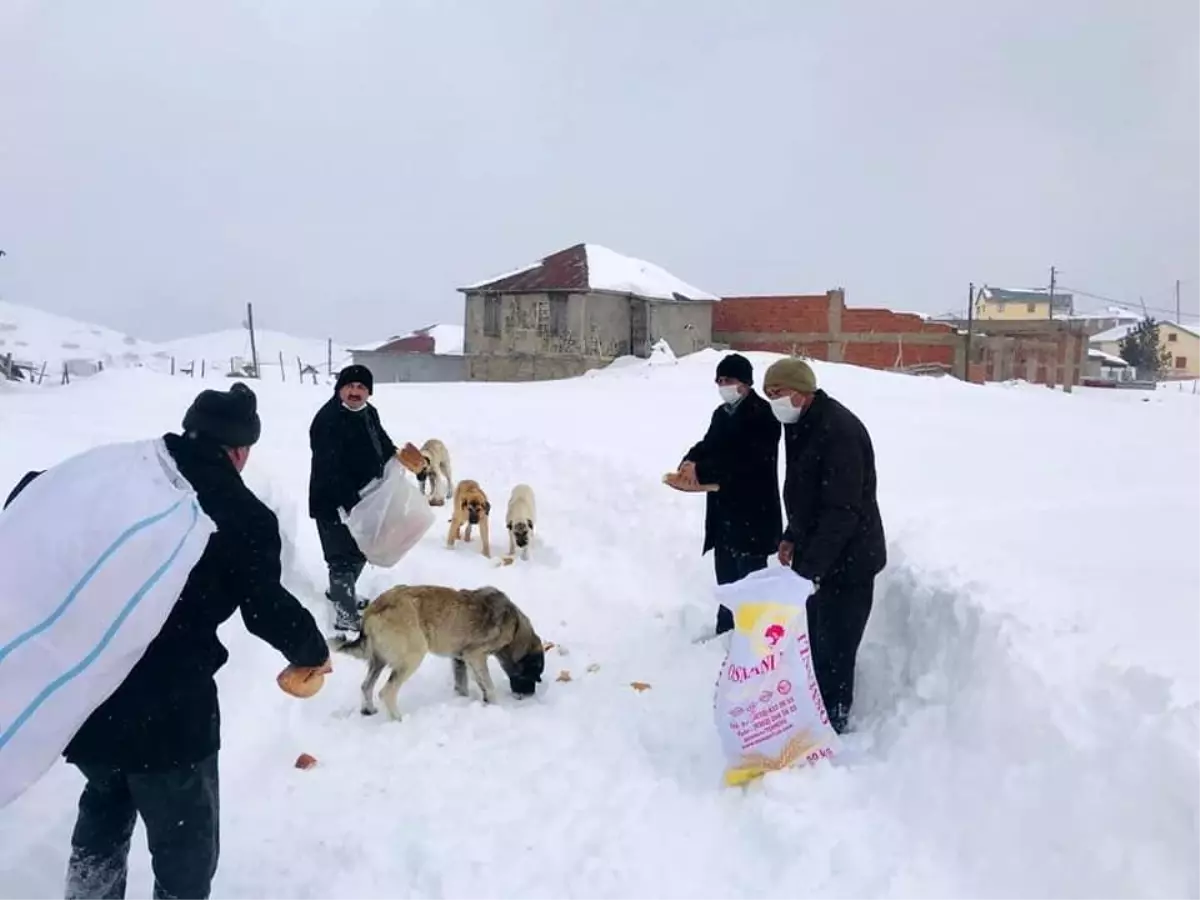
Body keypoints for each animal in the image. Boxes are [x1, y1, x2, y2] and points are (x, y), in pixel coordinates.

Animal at [333, 585, 549, 720]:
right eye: (534, 675)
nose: (530, 695)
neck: (515, 627)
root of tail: (373, 609)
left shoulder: (460, 658)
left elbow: (465, 684)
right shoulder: (475, 656)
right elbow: (489, 685)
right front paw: (495, 706)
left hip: (378, 661)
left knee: (366, 685)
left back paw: (368, 710)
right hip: (413, 656)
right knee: (387, 691)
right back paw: (398, 720)